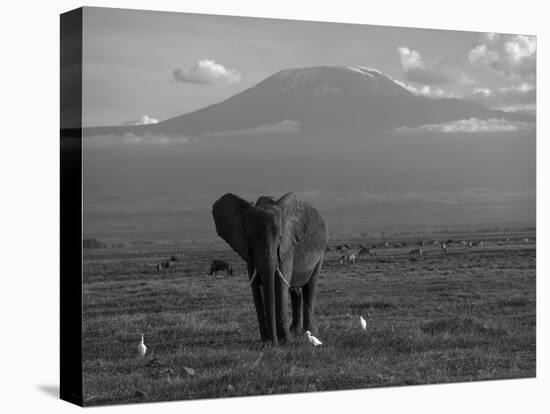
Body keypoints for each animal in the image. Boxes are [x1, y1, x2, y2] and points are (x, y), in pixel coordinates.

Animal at [213, 192, 330, 344]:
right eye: (249, 238)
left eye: (280, 237)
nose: (273, 342)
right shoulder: (248, 252)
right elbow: (256, 287)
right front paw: (265, 342)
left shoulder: (287, 245)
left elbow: (280, 284)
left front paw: (285, 342)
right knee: (295, 291)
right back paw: (295, 331)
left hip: (321, 253)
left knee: (310, 287)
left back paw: (310, 333)